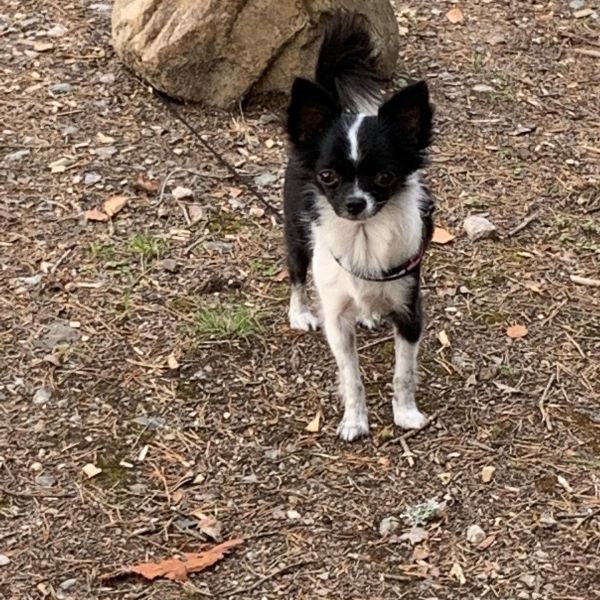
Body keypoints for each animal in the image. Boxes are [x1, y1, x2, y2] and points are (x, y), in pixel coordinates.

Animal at [284, 10, 434, 440]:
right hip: (295, 237)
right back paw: (299, 313)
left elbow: (404, 373)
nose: (354, 203)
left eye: (385, 177)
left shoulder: (409, 311)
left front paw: (405, 413)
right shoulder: (336, 321)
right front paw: (355, 420)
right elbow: (351, 377)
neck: (363, 239)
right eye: (328, 176)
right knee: (296, 276)